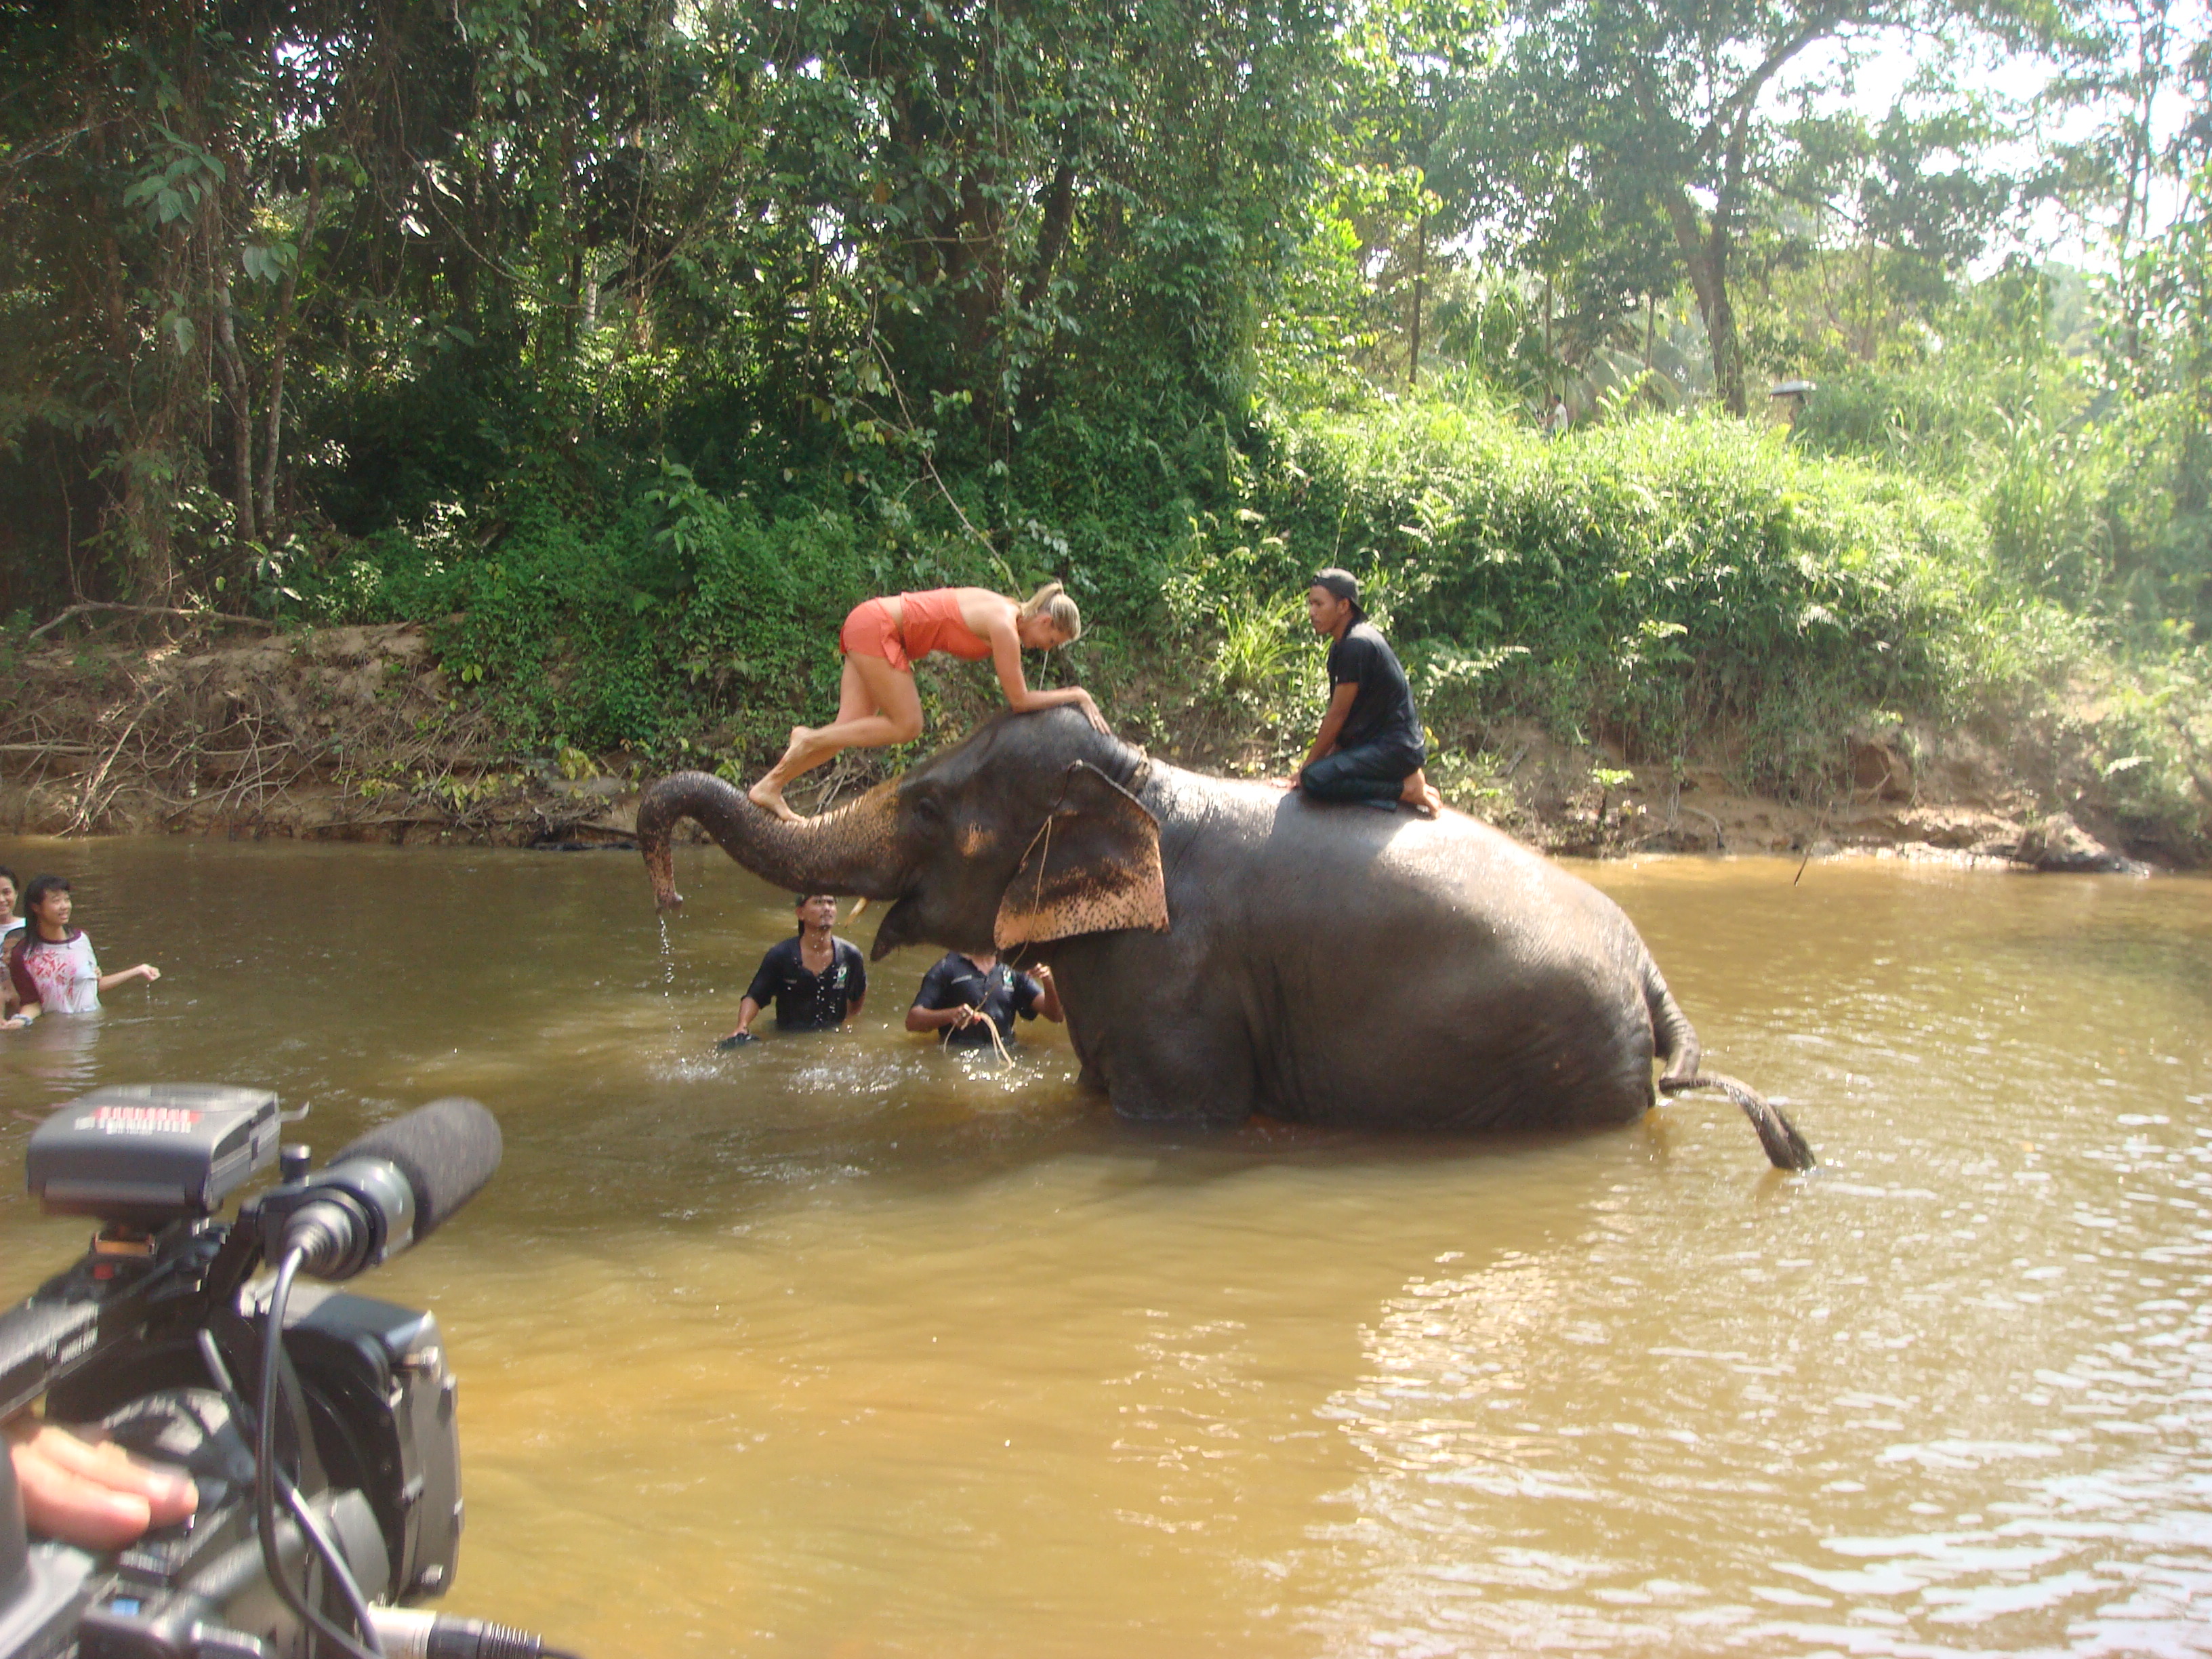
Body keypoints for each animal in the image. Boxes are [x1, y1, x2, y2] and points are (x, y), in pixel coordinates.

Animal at [641, 708, 1814, 1176]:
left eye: (929, 806)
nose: (660, 874)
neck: (1139, 781)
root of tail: (1646, 967)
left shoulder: (1179, 982)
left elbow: (1178, 1120)